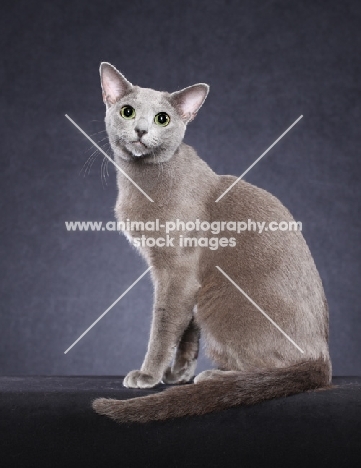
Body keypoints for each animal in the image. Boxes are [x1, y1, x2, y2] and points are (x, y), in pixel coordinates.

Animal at [91, 62, 330, 424]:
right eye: (127, 111)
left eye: (163, 118)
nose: (142, 130)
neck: (140, 181)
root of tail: (325, 360)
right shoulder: (186, 280)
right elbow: (186, 331)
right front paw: (178, 374)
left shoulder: (177, 270)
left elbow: (164, 325)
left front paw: (148, 376)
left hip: (219, 299)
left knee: (270, 369)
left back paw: (214, 377)